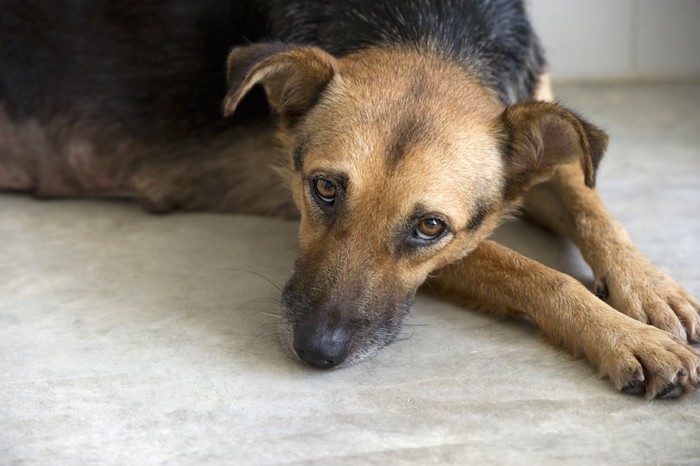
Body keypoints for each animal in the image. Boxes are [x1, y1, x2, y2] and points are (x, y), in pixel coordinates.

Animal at [0, 0, 696, 400]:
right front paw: (622, 335)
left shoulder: (532, 166)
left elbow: (592, 206)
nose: (317, 353)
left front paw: (650, 290)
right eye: (325, 189)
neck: (428, 30)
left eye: (430, 226)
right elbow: (538, 273)